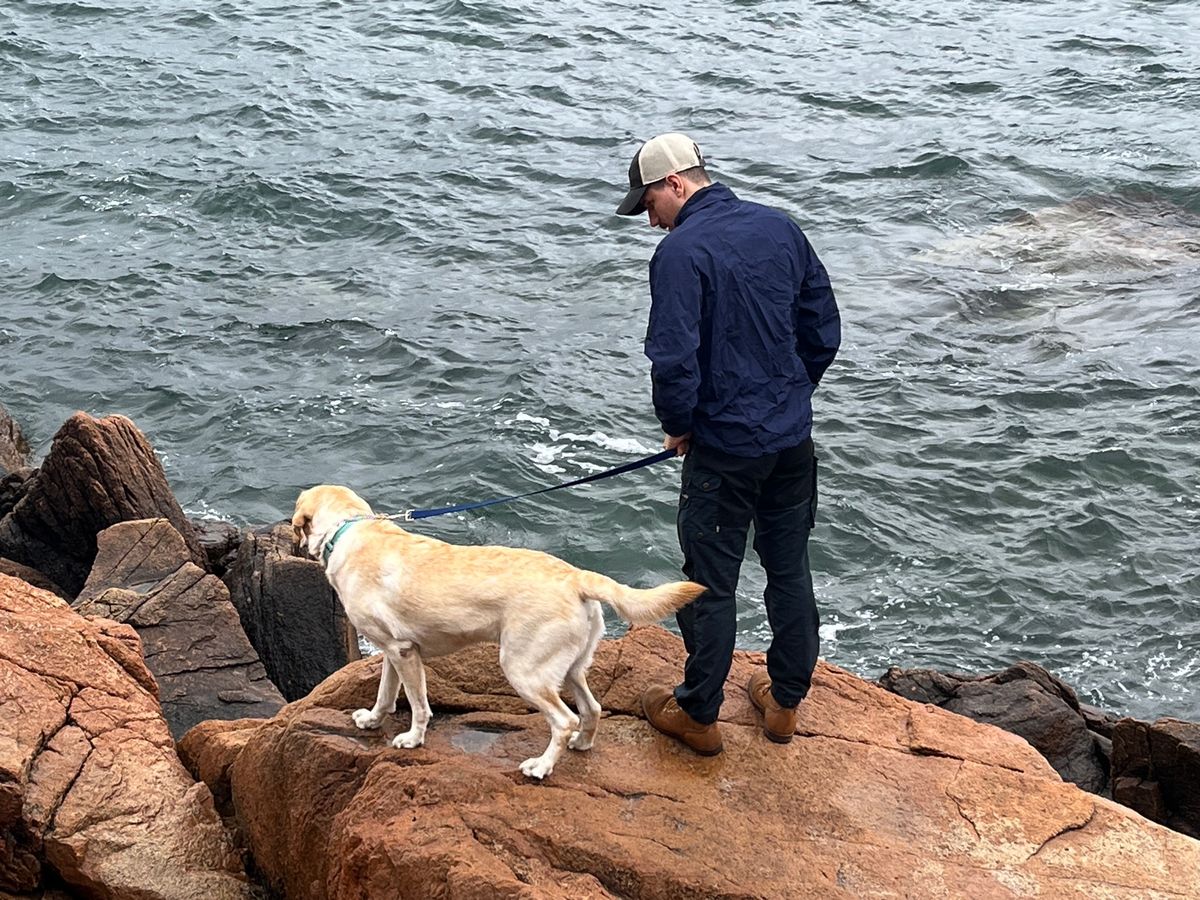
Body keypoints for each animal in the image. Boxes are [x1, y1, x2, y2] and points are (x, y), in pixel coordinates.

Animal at [292, 487, 700, 782]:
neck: (348, 529)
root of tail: (577, 577)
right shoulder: (394, 651)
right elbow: (386, 693)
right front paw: (373, 720)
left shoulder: (403, 652)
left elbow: (419, 706)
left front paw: (412, 739)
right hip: (568, 668)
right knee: (592, 708)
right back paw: (582, 744)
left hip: (523, 669)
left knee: (564, 720)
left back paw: (541, 766)